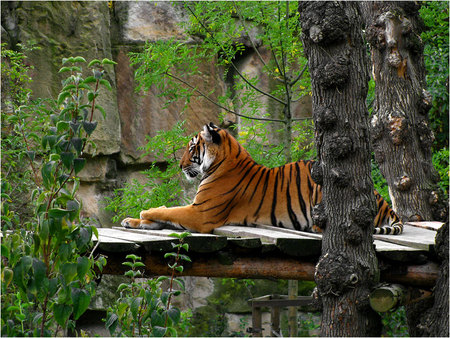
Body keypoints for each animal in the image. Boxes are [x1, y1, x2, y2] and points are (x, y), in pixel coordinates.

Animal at [120, 122, 404, 235]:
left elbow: (168, 211)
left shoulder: (200, 213)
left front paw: (145, 212)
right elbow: (166, 215)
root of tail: (383, 201)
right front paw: (133, 221)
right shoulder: (195, 210)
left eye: (191, 148)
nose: (179, 166)